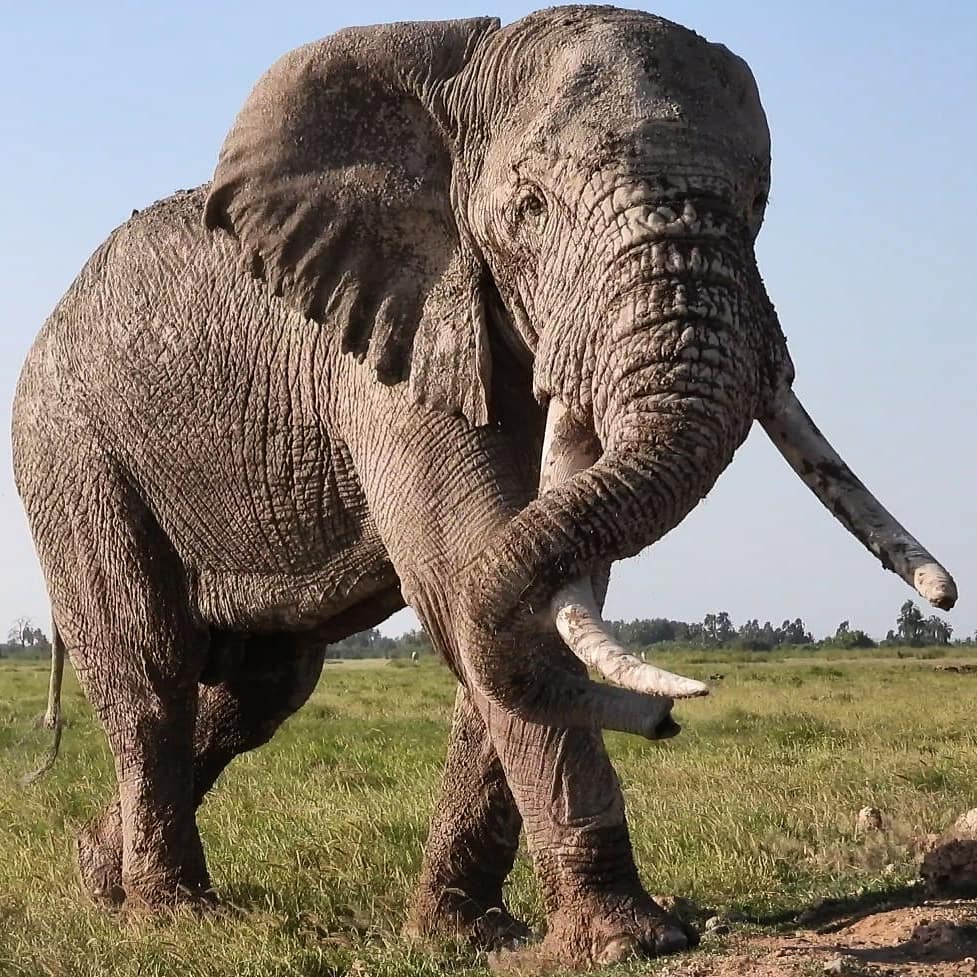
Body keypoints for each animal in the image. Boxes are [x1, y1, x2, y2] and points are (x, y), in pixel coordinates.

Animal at [12, 5, 957, 968]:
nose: (667, 718)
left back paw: (100, 872)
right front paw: (630, 941)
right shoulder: (388, 343)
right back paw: (172, 916)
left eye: (757, 206)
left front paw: (469, 934)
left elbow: (523, 595)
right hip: (70, 447)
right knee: (150, 671)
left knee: (259, 692)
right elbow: (467, 568)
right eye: (531, 209)